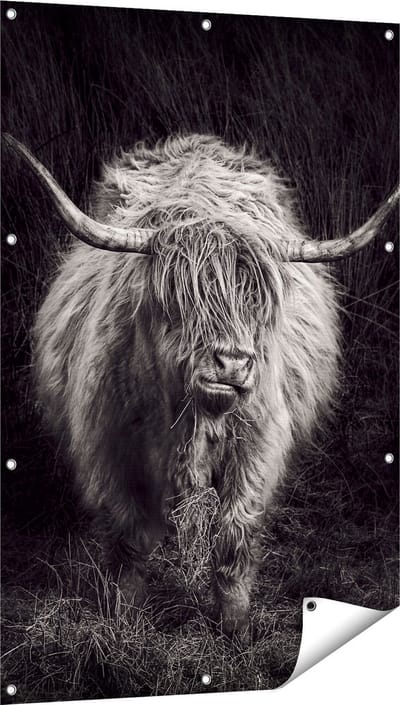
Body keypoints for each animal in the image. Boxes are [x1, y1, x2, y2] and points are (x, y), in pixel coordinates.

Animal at [4, 133, 398, 637]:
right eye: (181, 301)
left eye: (257, 303)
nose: (233, 363)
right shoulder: (109, 446)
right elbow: (129, 537)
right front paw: (125, 619)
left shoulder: (257, 448)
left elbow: (234, 535)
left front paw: (236, 627)